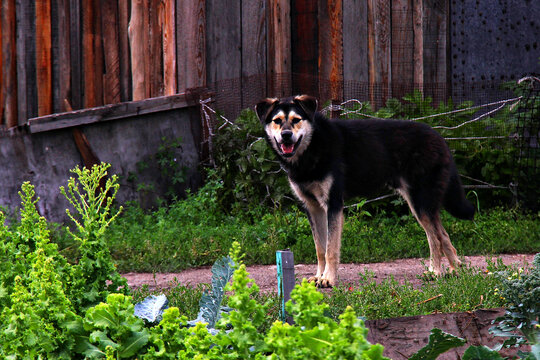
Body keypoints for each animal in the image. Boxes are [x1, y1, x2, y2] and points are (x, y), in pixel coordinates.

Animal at [255, 94, 474, 288]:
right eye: (277, 121)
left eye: (296, 120)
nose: (286, 135)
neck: (312, 146)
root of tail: (439, 137)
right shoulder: (313, 207)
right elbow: (320, 248)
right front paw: (318, 276)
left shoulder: (333, 204)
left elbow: (330, 249)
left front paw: (329, 279)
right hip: (422, 204)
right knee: (443, 235)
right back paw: (455, 270)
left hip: (420, 202)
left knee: (435, 238)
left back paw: (436, 272)